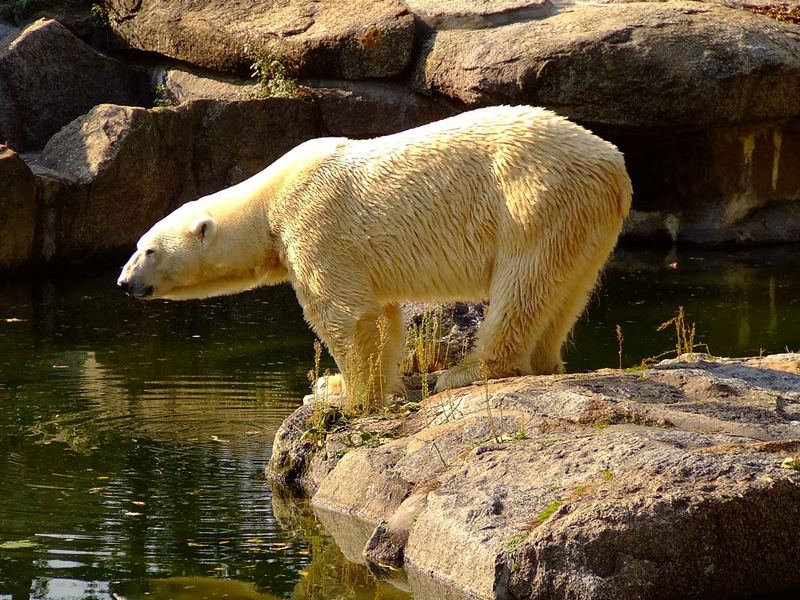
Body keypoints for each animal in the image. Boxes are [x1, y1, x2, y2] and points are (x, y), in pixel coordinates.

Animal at [117, 106, 632, 400]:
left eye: (149, 250)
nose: (124, 282)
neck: (271, 198)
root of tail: (613, 164)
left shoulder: (316, 226)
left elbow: (342, 314)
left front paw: (346, 393)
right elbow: (382, 317)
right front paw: (348, 384)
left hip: (533, 201)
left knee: (522, 285)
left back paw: (466, 372)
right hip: (584, 219)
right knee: (566, 290)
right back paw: (546, 362)